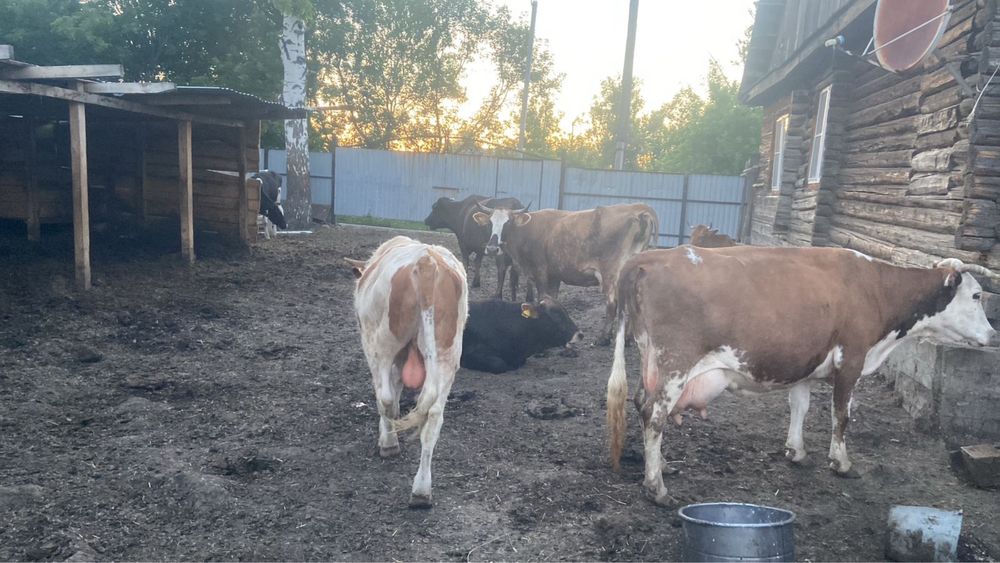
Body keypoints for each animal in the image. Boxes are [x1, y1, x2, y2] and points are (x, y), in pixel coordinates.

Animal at [345, 235, 468, 508]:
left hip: (382, 344)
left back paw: (390, 443)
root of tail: (426, 262)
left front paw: (387, 437)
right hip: (448, 354)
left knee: (385, 398)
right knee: (434, 417)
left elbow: (389, 394)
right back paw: (421, 490)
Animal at [473, 202, 658, 345]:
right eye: (490, 223)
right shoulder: (555, 276)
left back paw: (603, 339)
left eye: (508, 223)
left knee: (612, 304)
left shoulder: (541, 272)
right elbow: (552, 298)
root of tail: (637, 209)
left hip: (611, 274)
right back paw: (628, 338)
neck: (528, 230)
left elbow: (542, 296)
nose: (492, 248)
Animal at [605, 245, 998, 506]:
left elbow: (801, 406)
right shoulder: (851, 358)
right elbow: (842, 415)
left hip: (652, 362)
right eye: (977, 295)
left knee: (641, 404)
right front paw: (841, 463)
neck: (876, 288)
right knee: (654, 415)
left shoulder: (808, 364)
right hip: (676, 363)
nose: (993, 335)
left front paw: (796, 451)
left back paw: (661, 466)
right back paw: (656, 487)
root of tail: (645, 259)